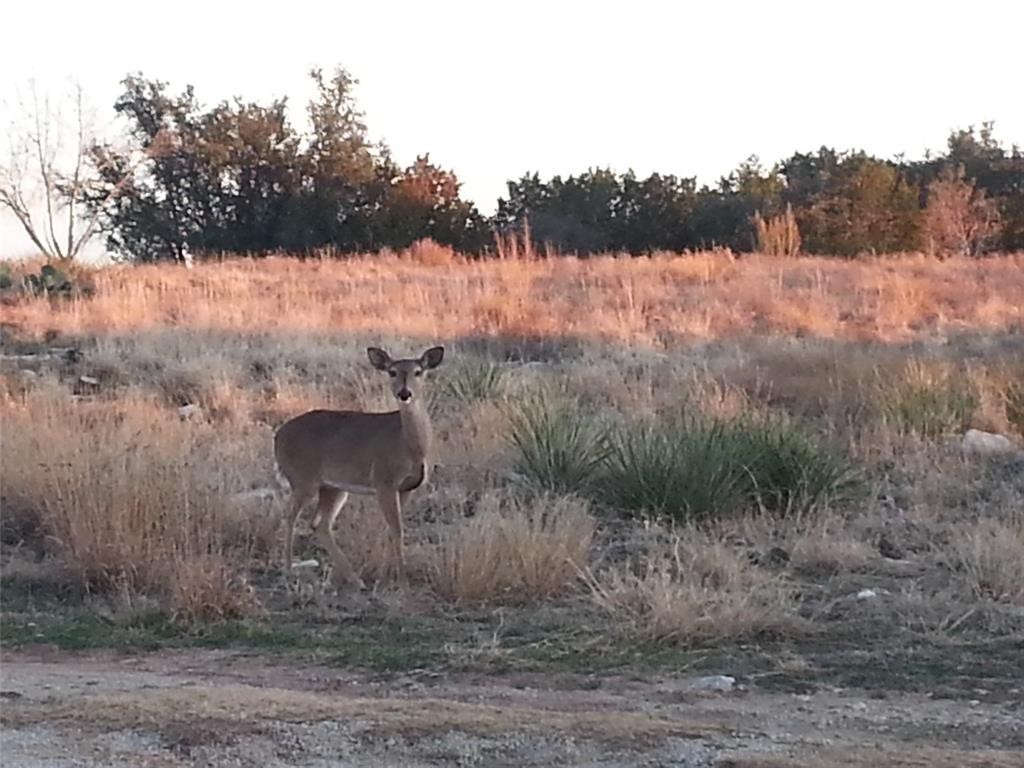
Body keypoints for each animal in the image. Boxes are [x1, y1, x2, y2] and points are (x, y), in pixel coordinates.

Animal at [274, 346, 446, 593]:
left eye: (418, 371)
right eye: (392, 372)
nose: (404, 393)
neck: (410, 446)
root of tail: (277, 436)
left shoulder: (407, 488)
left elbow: (391, 530)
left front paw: (384, 577)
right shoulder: (384, 481)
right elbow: (397, 529)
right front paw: (402, 582)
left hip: (333, 487)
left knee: (319, 524)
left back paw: (355, 579)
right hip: (303, 479)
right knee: (290, 517)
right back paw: (289, 569)